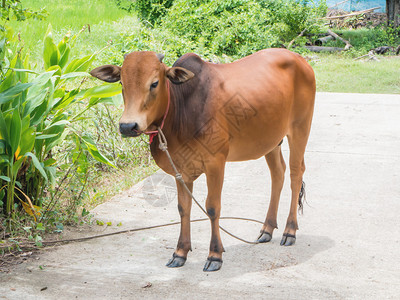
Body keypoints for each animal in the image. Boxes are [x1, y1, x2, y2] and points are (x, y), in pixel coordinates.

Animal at [90, 48, 316, 270]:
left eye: (154, 83)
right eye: (121, 83)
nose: (128, 126)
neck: (181, 110)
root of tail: (299, 59)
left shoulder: (216, 163)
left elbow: (212, 208)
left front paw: (215, 255)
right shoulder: (181, 168)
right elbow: (184, 208)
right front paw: (180, 252)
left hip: (300, 129)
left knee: (296, 174)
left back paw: (289, 231)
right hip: (271, 140)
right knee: (278, 174)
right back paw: (267, 229)